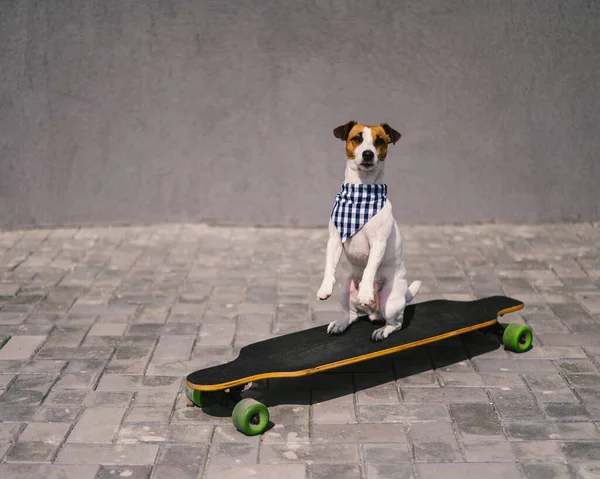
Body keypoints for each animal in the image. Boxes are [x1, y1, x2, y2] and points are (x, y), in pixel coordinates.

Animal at [314, 122, 422, 344]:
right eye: (357, 138)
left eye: (379, 141)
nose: (368, 154)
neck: (360, 193)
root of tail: (374, 312)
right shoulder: (334, 239)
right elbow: (329, 266)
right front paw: (324, 288)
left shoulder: (378, 243)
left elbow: (370, 268)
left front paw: (365, 291)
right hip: (346, 291)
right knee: (352, 315)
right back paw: (340, 324)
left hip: (390, 301)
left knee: (396, 323)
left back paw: (382, 330)